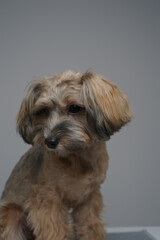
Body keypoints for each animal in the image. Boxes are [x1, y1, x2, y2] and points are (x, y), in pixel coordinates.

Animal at [0, 70, 132, 239]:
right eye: (44, 111)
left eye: (74, 108)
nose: (49, 141)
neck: (77, 158)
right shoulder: (48, 201)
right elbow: (55, 231)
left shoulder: (89, 198)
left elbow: (90, 226)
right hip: (10, 213)